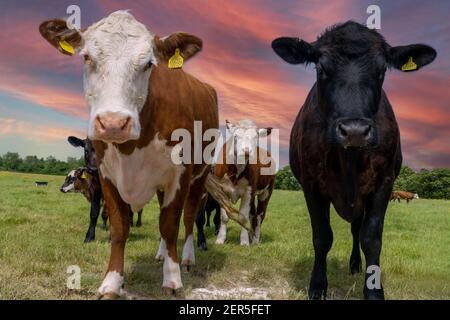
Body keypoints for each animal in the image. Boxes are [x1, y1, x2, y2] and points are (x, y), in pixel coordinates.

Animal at [38, 10, 218, 300]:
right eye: (87, 57)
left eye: (148, 64)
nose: (113, 123)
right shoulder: (106, 175)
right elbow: (119, 227)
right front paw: (111, 282)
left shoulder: (179, 174)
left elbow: (171, 225)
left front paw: (172, 280)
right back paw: (161, 254)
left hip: (200, 176)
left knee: (190, 218)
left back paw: (187, 258)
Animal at [272, 21, 438, 298]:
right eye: (320, 67)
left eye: (382, 69)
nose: (354, 130)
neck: (348, 158)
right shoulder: (310, 183)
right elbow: (322, 236)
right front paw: (318, 285)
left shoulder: (383, 183)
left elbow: (371, 239)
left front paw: (374, 290)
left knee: (356, 230)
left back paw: (355, 264)